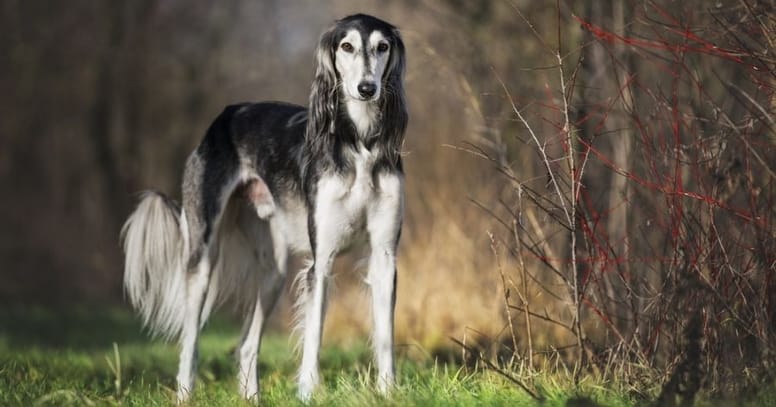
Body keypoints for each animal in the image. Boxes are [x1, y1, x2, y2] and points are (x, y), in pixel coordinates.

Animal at [121, 14, 406, 404]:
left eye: (382, 47)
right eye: (346, 46)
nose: (366, 88)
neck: (359, 143)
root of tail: (226, 115)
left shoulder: (384, 256)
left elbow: (386, 337)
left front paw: (388, 392)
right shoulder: (322, 259)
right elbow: (314, 335)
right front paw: (307, 393)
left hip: (274, 271)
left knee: (246, 344)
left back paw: (251, 397)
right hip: (203, 253)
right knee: (190, 341)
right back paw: (184, 393)